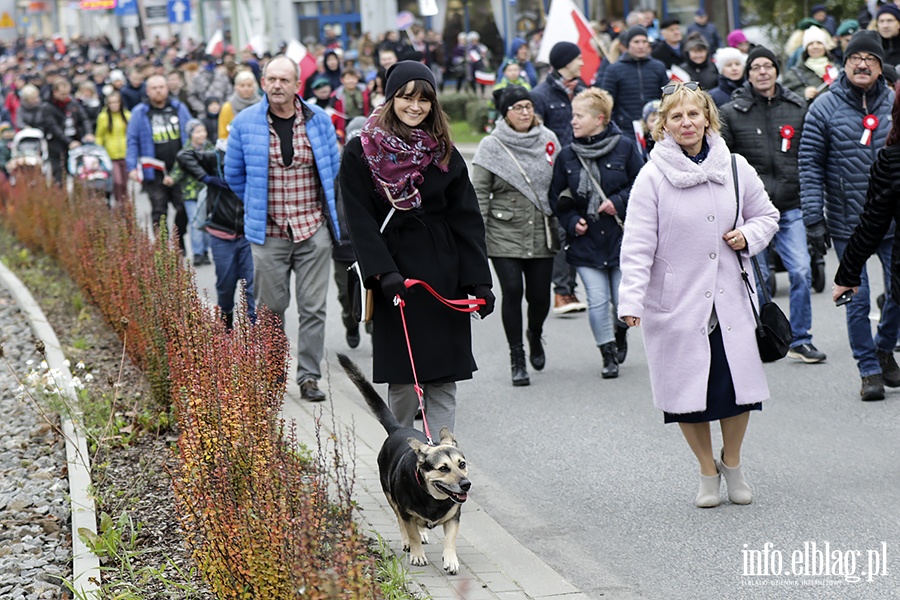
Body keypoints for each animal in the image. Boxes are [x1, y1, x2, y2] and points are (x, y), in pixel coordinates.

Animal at [338, 354, 472, 576]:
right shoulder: (405, 511)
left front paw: (451, 560)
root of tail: (398, 428)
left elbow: (450, 539)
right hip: (390, 494)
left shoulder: (454, 517)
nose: (466, 485)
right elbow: (411, 531)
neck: (433, 497)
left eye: (462, 464)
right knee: (402, 523)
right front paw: (417, 554)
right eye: (443, 468)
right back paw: (408, 541)